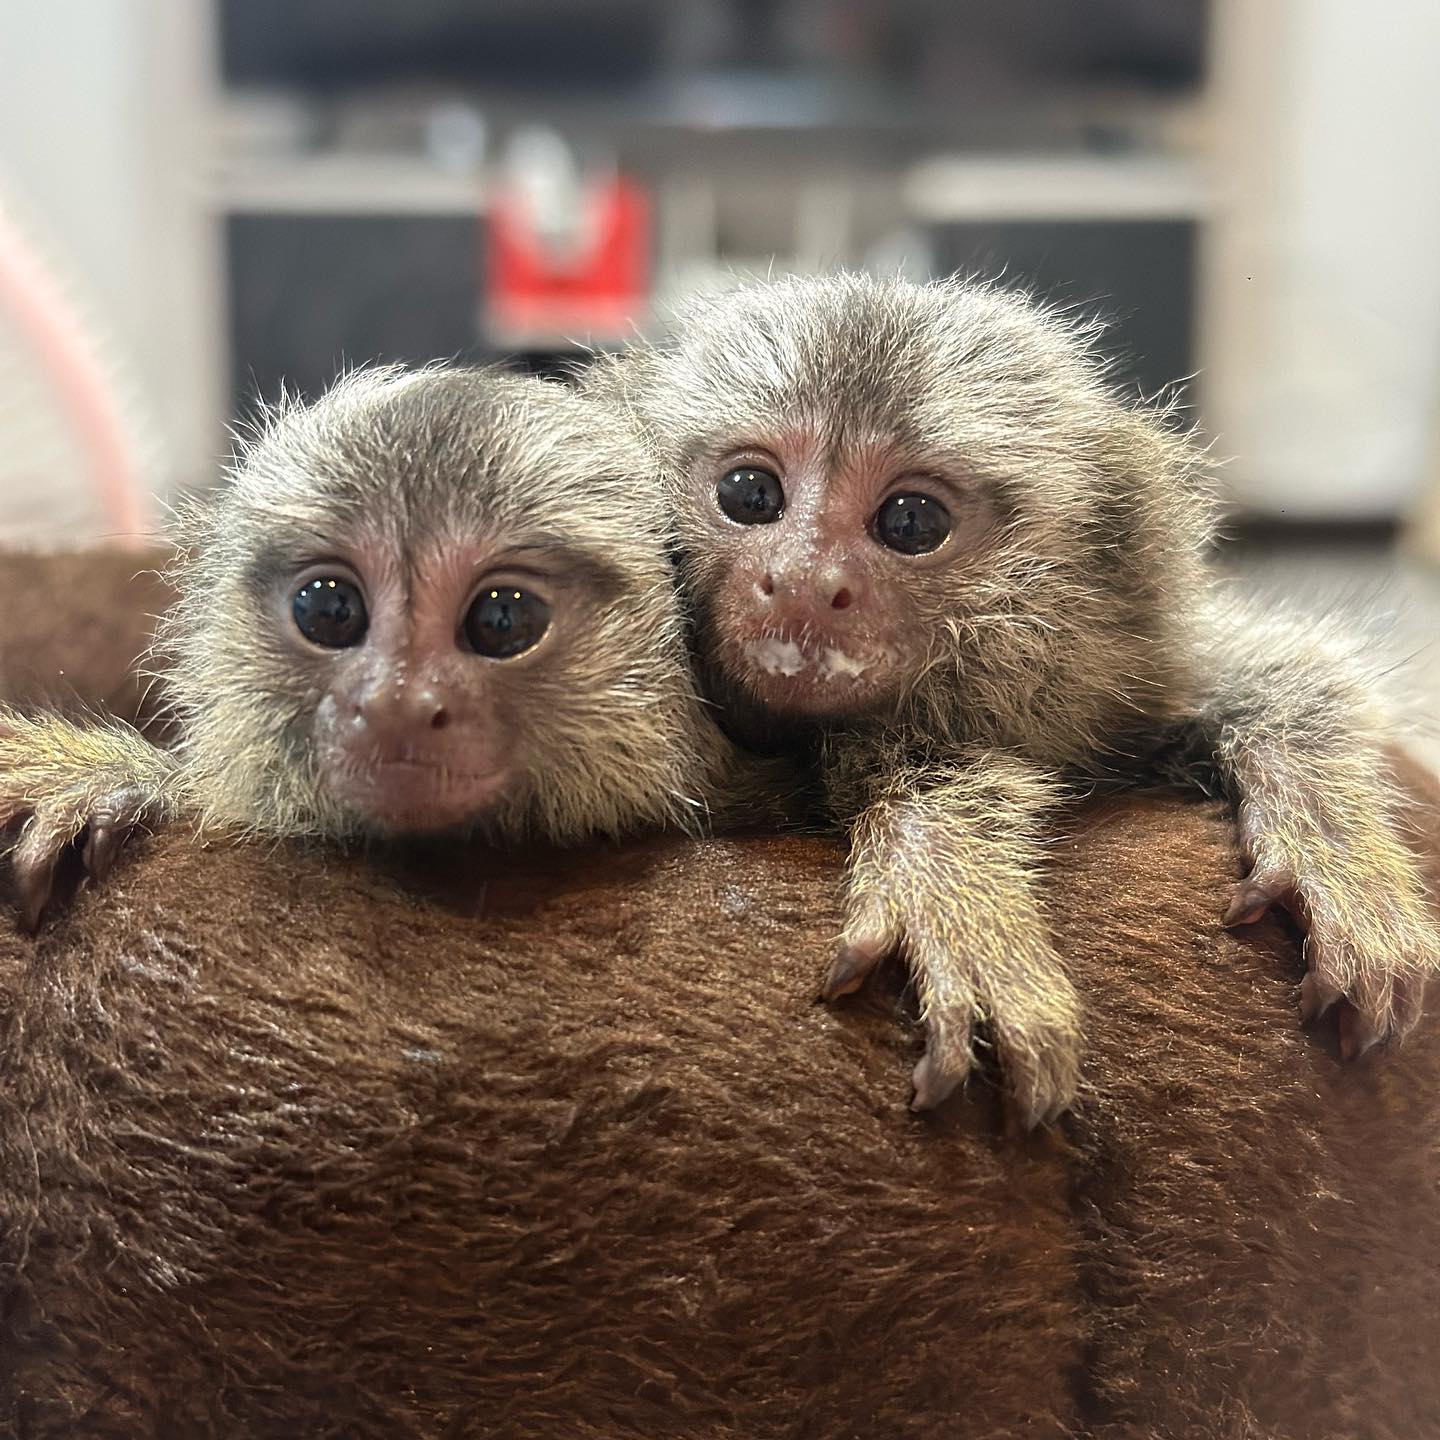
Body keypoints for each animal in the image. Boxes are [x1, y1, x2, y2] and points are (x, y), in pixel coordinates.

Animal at [586, 271, 1439, 1125]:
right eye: (750, 494)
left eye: (910, 521)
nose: (800, 580)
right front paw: (950, 874)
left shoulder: (1128, 676)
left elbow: (1286, 678)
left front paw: (1332, 846)